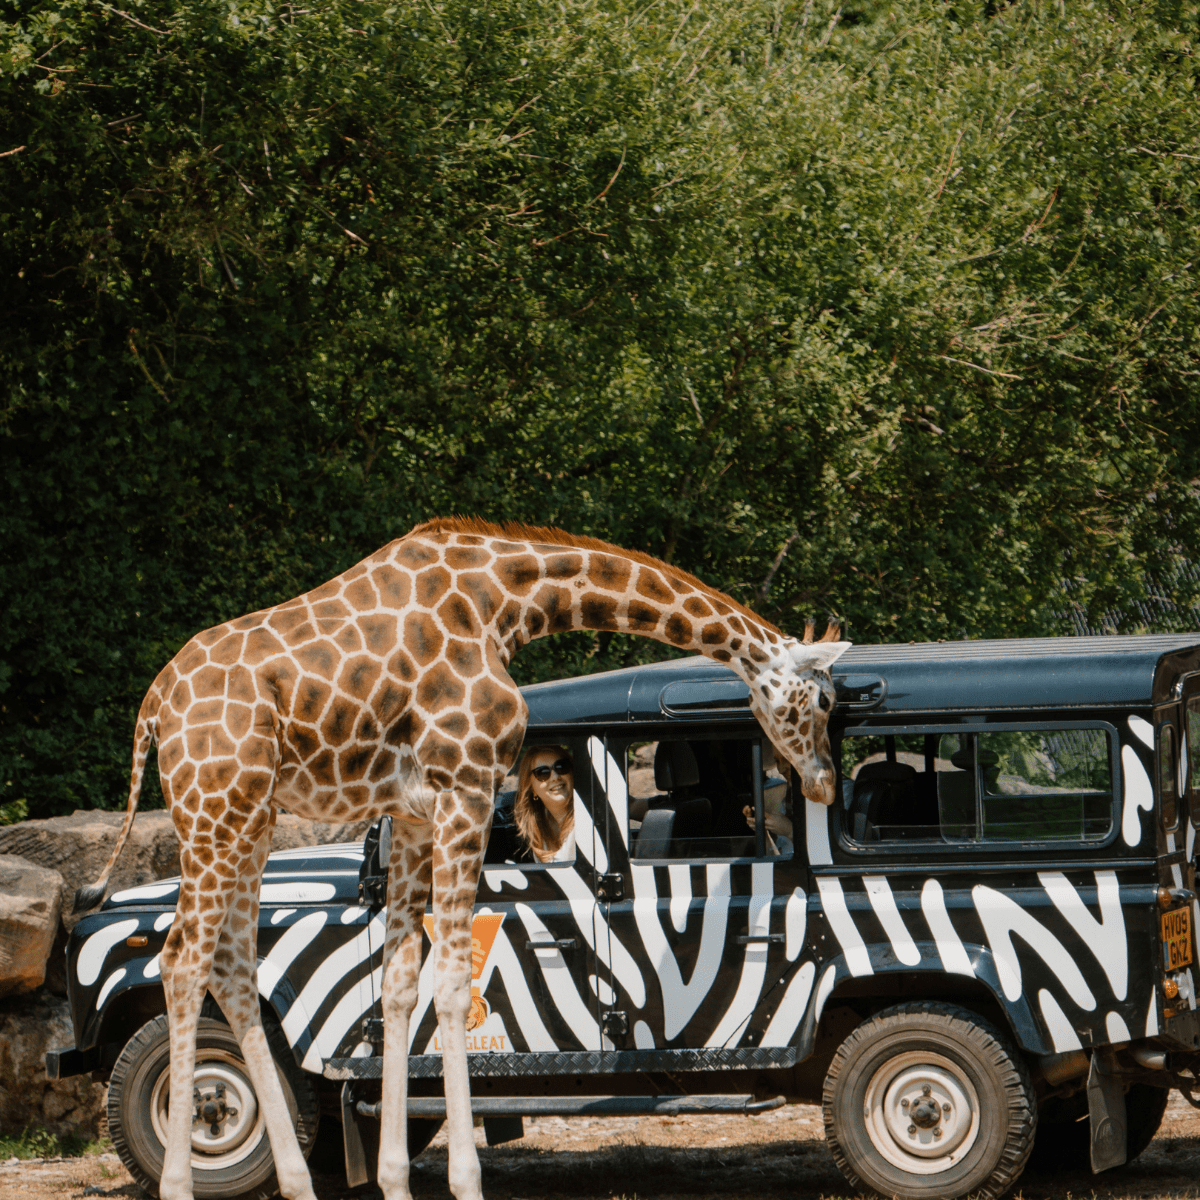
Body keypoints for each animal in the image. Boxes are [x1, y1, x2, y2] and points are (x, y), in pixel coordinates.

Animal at [74, 517, 851, 1200]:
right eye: (820, 699)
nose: (823, 783)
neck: (502, 600)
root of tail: (154, 706)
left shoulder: (416, 813)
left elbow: (399, 986)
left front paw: (394, 1179)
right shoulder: (468, 786)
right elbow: (452, 982)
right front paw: (465, 1182)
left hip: (248, 820)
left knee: (232, 966)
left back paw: (297, 1183)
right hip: (216, 810)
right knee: (181, 960)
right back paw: (181, 1183)